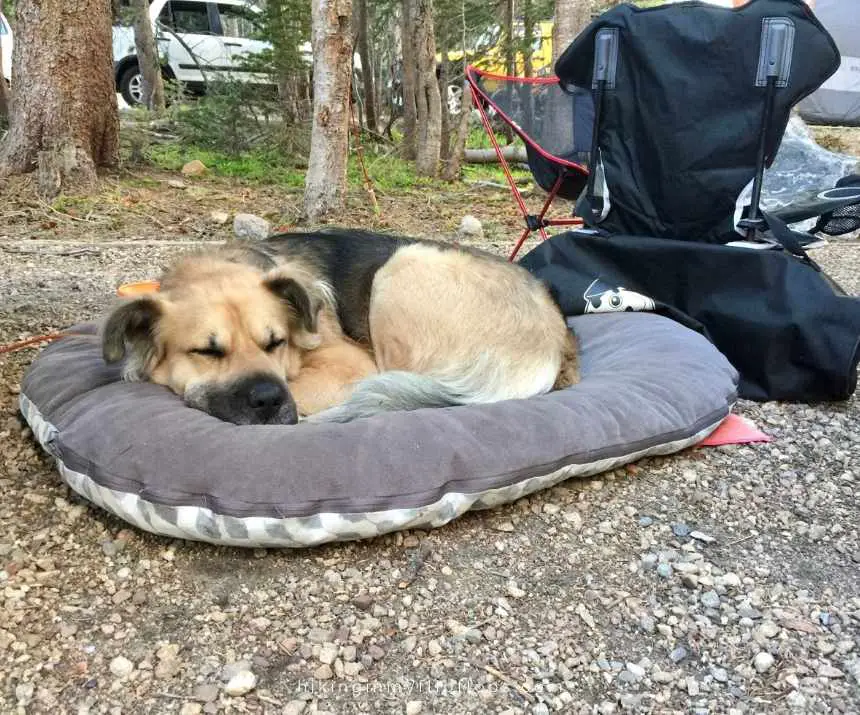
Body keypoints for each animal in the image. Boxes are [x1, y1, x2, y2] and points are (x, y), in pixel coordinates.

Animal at [104, 229, 580, 422]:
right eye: (207, 351)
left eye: (276, 342)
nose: (269, 401)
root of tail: (553, 333)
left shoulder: (350, 366)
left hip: (401, 267)